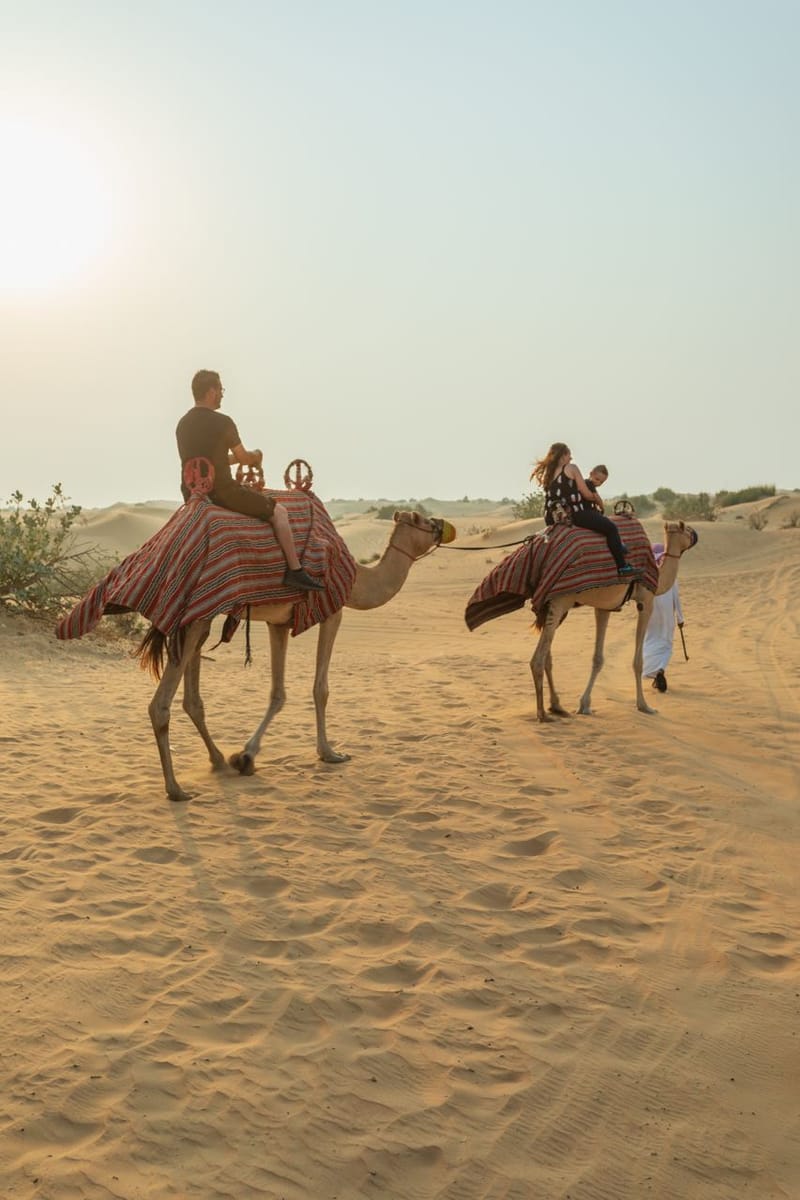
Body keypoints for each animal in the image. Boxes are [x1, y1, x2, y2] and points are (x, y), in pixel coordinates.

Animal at [138, 510, 455, 801]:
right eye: (424, 521)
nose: (443, 525)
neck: (358, 580)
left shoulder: (278, 623)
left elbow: (278, 693)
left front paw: (244, 757)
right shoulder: (333, 612)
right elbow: (320, 689)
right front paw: (329, 753)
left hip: (197, 621)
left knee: (192, 700)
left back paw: (218, 760)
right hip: (196, 616)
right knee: (160, 705)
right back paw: (176, 789)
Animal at [531, 520, 697, 722]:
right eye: (686, 529)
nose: (695, 534)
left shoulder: (604, 607)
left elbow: (598, 658)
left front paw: (584, 704)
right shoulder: (646, 601)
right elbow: (638, 662)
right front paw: (644, 705)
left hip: (554, 607)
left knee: (547, 655)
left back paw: (556, 706)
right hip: (561, 601)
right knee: (538, 659)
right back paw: (542, 714)